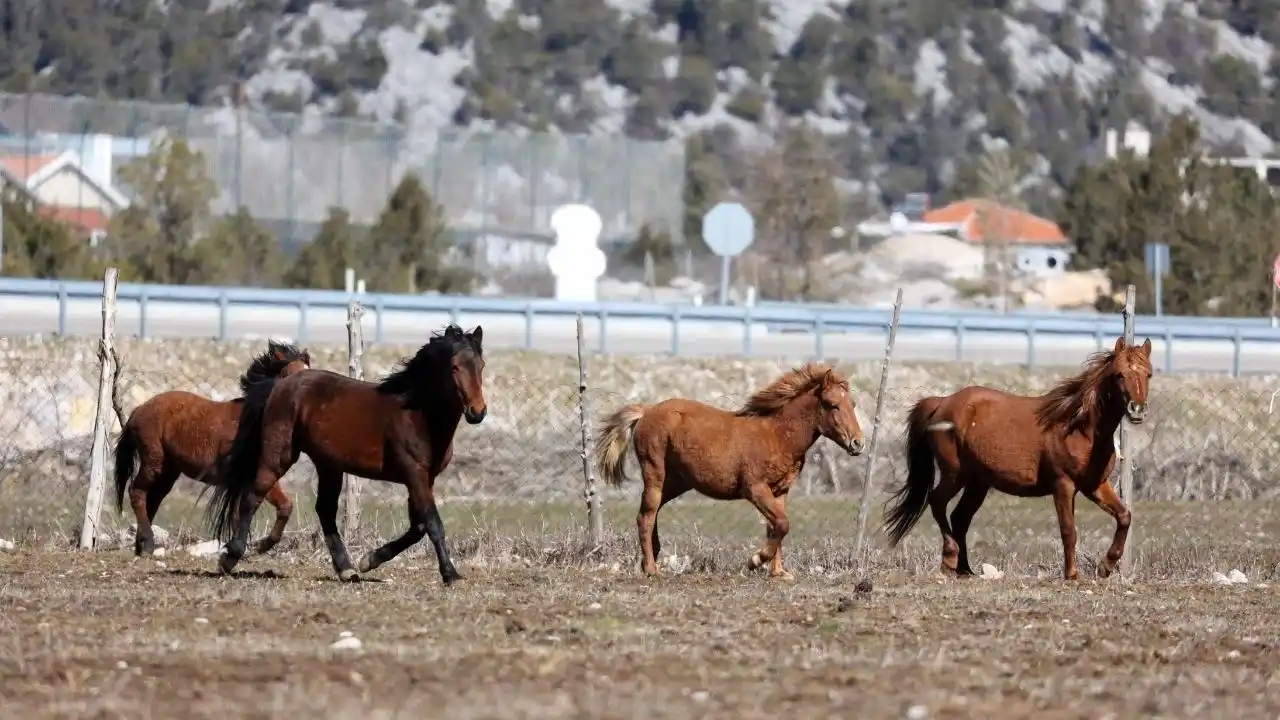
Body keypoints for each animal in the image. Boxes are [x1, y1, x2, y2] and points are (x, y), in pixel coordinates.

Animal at [113, 338, 311, 556]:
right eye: (291, 373)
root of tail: (138, 410)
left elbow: (281, 506)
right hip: (153, 461)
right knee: (137, 493)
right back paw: (147, 543)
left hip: (168, 471)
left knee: (153, 499)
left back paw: (142, 546)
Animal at [202, 325, 486, 584]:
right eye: (454, 368)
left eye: (481, 366)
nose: (477, 412)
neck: (417, 415)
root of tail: (282, 383)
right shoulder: (414, 473)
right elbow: (433, 524)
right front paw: (450, 574)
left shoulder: (426, 478)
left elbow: (418, 526)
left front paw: (370, 560)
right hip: (279, 455)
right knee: (253, 495)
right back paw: (232, 556)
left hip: (329, 464)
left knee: (325, 510)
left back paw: (346, 568)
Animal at [593, 361, 865, 573]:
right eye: (833, 404)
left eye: (852, 404)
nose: (858, 443)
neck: (777, 434)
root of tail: (647, 411)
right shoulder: (755, 488)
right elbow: (782, 524)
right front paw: (755, 561)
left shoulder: (780, 491)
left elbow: (777, 526)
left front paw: (778, 572)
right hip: (655, 475)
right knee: (646, 516)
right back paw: (651, 569)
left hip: (676, 483)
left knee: (651, 512)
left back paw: (651, 559)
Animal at [885, 335, 1157, 576]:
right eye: (1119, 374)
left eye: (1149, 374)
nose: (1137, 410)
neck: (1078, 427)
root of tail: (942, 402)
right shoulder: (1063, 485)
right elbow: (1068, 531)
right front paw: (1071, 575)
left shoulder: (1095, 485)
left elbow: (1124, 516)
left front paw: (1105, 567)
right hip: (954, 473)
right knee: (937, 501)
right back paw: (950, 560)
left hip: (978, 483)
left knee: (959, 517)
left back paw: (965, 570)